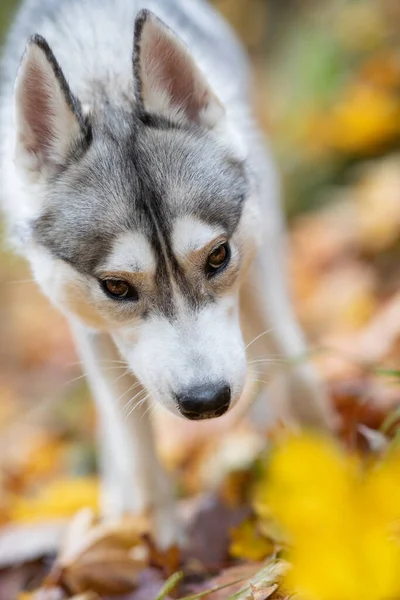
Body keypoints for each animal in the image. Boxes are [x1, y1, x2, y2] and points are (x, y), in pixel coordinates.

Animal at [0, 0, 334, 544]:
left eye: (217, 256)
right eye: (116, 286)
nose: (207, 400)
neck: (103, 80)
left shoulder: (256, 258)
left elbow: (297, 373)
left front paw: (335, 478)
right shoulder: (88, 326)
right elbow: (134, 445)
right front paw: (160, 546)